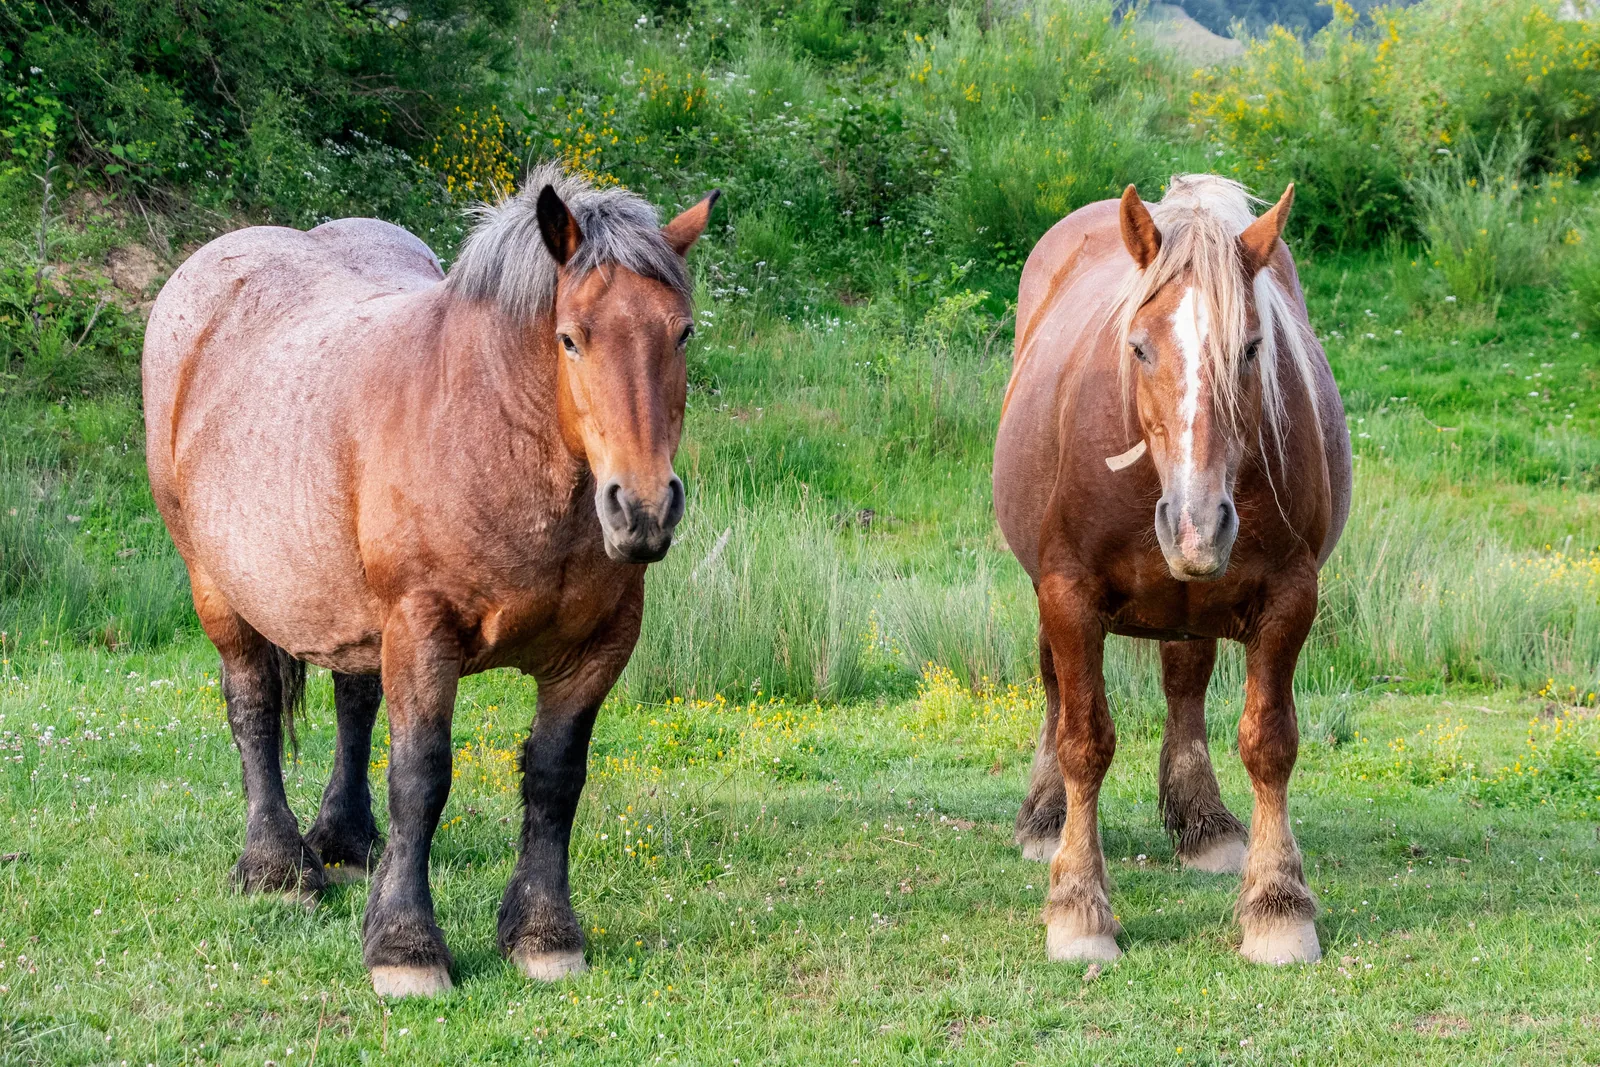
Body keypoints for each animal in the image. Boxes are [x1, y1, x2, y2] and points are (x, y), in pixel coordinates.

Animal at [143, 163, 718, 997]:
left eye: (682, 332)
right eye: (570, 338)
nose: (641, 507)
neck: (490, 431)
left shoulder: (598, 648)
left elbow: (555, 777)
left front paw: (545, 934)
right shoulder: (422, 629)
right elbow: (421, 776)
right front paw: (405, 946)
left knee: (353, 702)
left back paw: (347, 840)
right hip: (217, 589)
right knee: (251, 706)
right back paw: (277, 866)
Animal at [993, 175, 1351, 964]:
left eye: (1251, 347)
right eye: (1139, 347)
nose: (1197, 522)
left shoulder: (1290, 598)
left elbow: (1269, 743)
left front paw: (1278, 906)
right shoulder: (1067, 594)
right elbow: (1085, 741)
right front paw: (1079, 907)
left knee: (1185, 686)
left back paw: (1203, 820)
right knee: (1055, 689)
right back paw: (1044, 818)